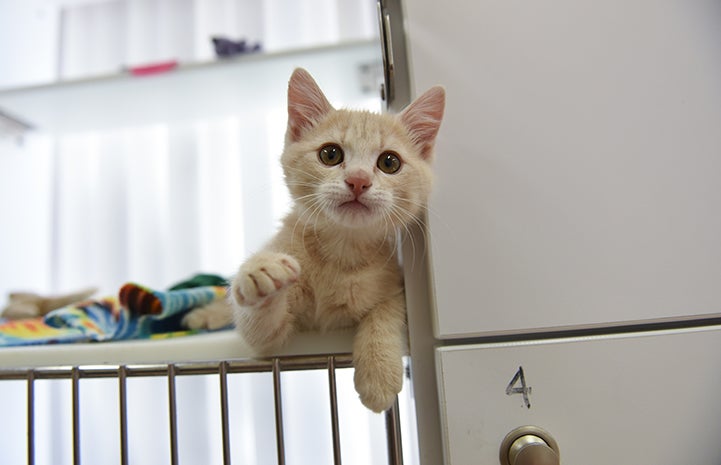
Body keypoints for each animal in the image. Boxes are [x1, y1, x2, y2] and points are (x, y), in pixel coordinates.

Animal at [186, 68, 444, 410]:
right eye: (330, 154)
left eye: (390, 162)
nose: (358, 180)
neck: (340, 254)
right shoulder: (270, 343)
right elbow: (257, 328)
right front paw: (261, 275)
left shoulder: (394, 281)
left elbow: (388, 309)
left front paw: (379, 370)